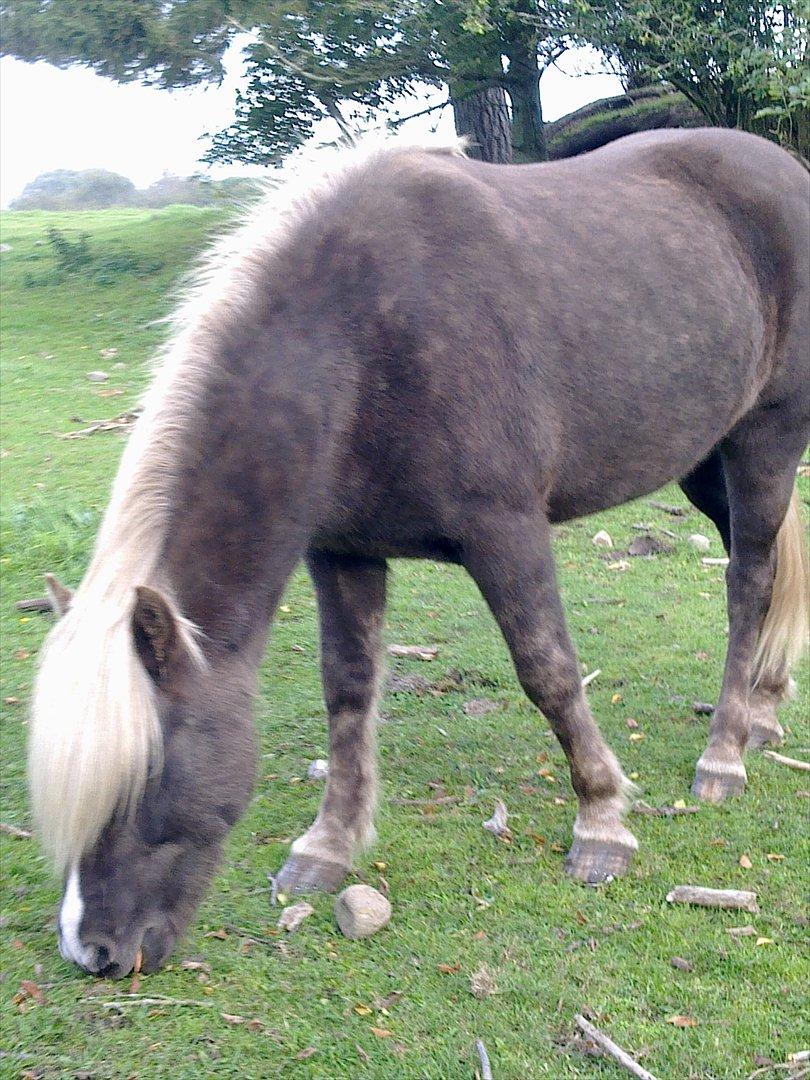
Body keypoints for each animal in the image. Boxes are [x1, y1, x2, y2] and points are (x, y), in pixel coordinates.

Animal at [28, 128, 807, 980]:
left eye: (148, 776)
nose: (94, 950)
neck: (362, 337)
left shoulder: (506, 530)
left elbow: (549, 673)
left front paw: (602, 824)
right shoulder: (341, 552)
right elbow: (347, 688)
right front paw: (327, 845)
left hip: (766, 436)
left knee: (749, 581)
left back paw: (724, 755)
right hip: (705, 458)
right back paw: (765, 710)